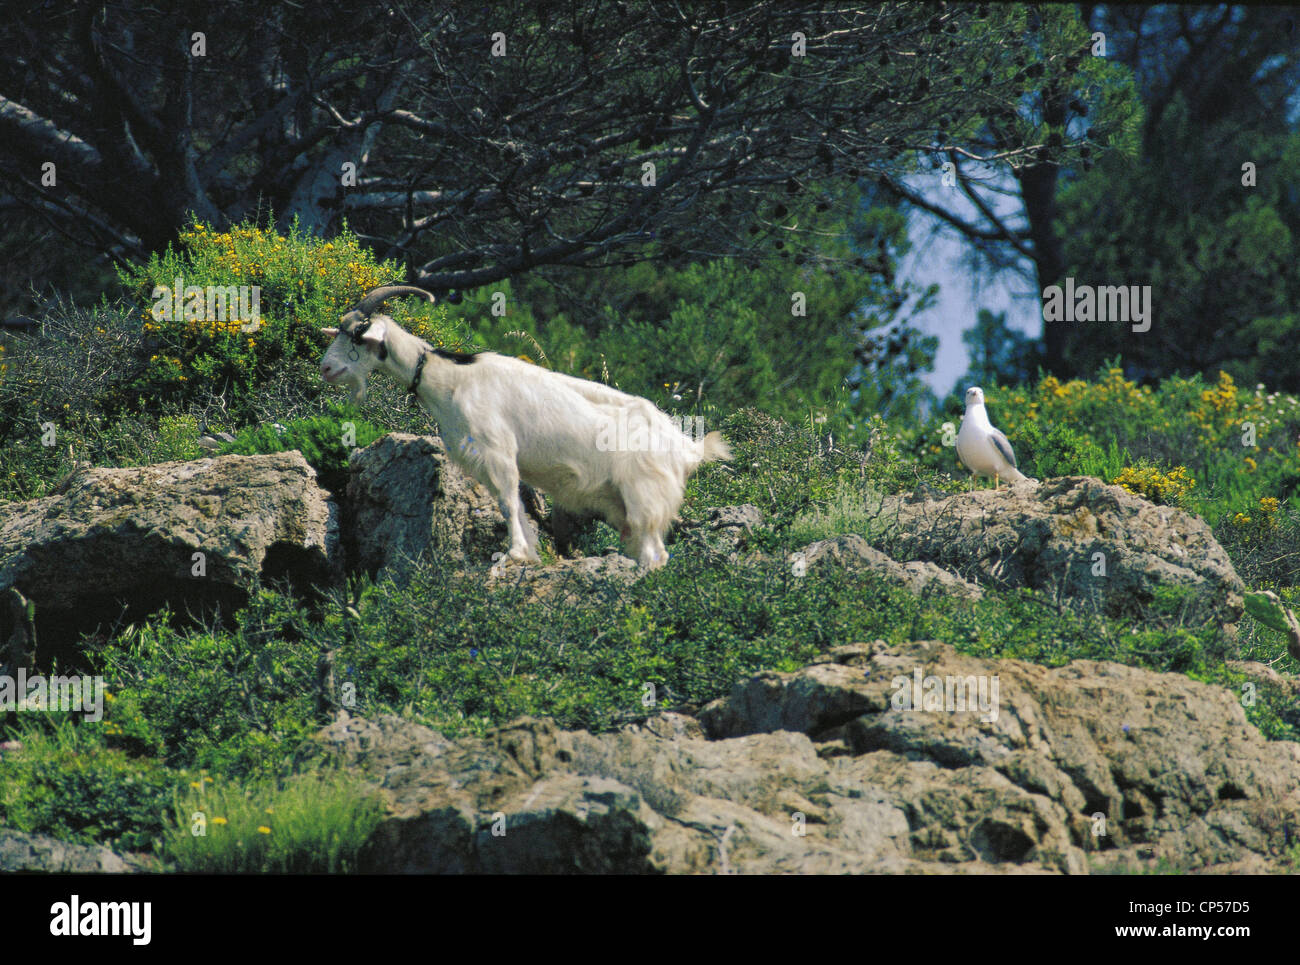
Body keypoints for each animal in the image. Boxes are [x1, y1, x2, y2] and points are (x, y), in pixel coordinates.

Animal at [318, 287, 733, 574]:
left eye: (357, 336)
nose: (326, 368)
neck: (450, 378)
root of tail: (685, 447)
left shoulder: (497, 451)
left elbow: (506, 501)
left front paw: (515, 554)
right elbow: (515, 504)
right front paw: (529, 552)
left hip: (644, 494)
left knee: (656, 554)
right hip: (623, 505)